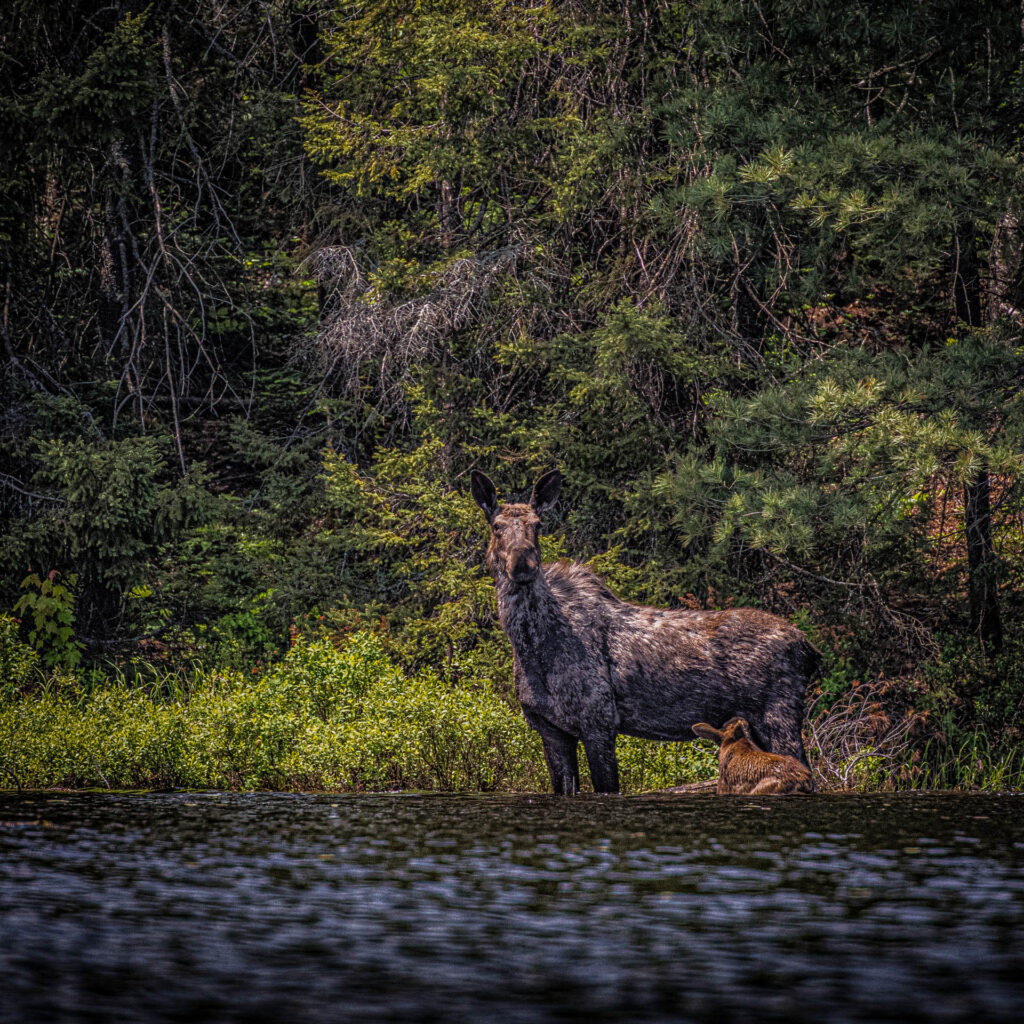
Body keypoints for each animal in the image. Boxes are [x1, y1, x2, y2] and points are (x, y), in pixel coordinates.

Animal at [468, 468, 819, 794]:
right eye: (496, 526)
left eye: (538, 525)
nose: (522, 563)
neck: (532, 648)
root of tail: (809, 647)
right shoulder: (550, 729)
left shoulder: (599, 722)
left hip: (779, 716)